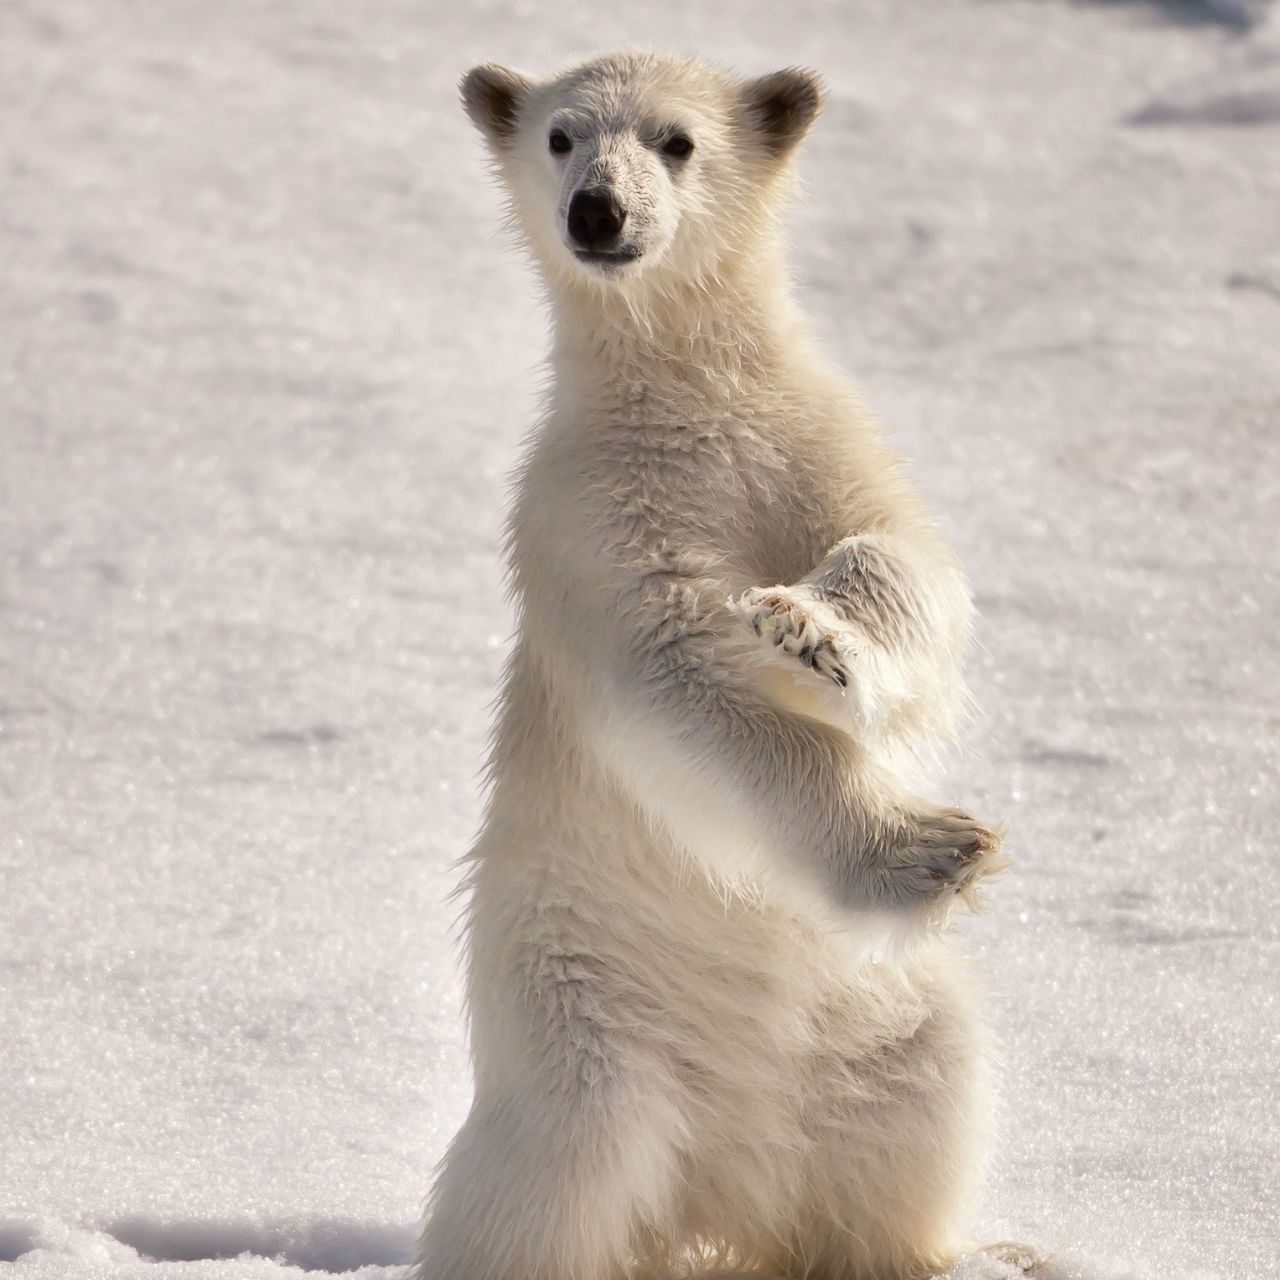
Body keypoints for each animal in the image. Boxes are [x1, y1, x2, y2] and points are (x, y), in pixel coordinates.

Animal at [413, 49, 1017, 1280]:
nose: (598, 211)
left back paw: (959, 1251)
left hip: (875, 1018)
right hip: (580, 1017)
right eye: (560, 135)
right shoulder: (591, 515)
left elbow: (904, 560)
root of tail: (717, 1191)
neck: (687, 396)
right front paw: (929, 848)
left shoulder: (812, 439)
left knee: (923, 1097)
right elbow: (676, 676)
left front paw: (811, 633)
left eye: (677, 140)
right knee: (553, 1179)